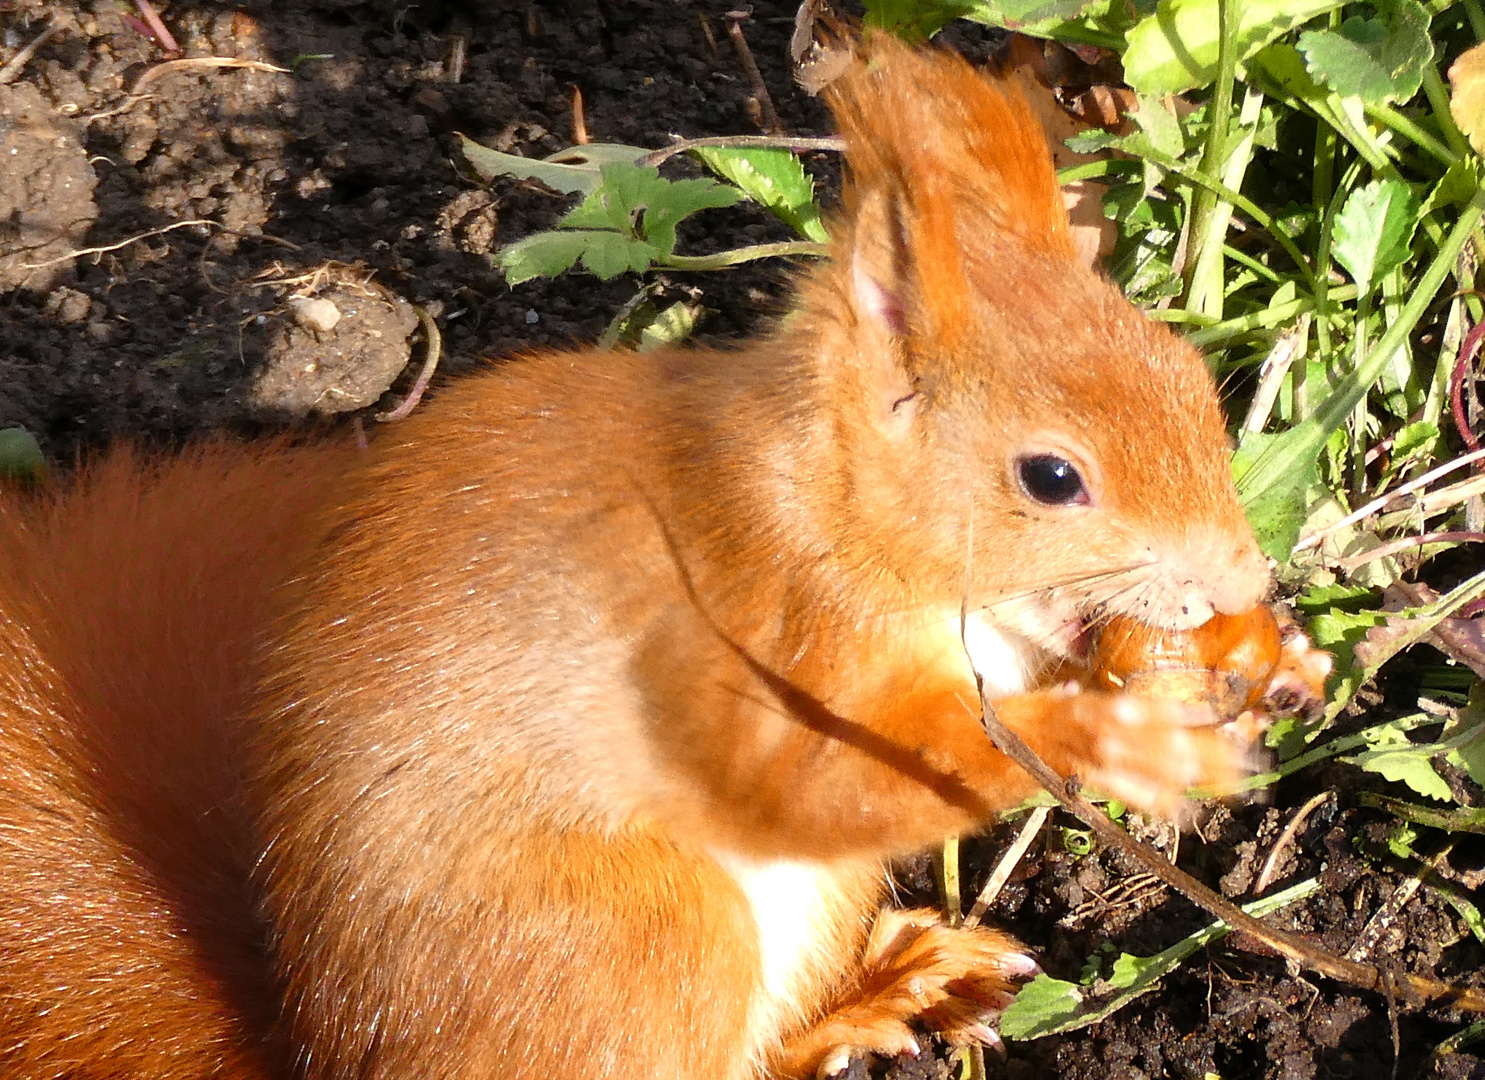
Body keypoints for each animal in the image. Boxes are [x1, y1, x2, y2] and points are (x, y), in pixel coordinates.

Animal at [0, 38, 1277, 1080]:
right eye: (1051, 478)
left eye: (1186, 375)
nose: (1243, 581)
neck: (822, 503)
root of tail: (331, 1050)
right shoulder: (749, 622)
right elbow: (819, 783)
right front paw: (1116, 734)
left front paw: (1221, 664)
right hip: (651, 930)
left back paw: (888, 992)